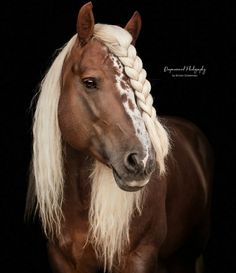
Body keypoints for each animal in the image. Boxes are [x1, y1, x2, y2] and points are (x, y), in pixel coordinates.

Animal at [25, 2, 214, 272]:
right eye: (90, 82)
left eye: (138, 87)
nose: (142, 162)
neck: (80, 204)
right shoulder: (63, 259)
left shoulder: (139, 257)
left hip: (188, 254)